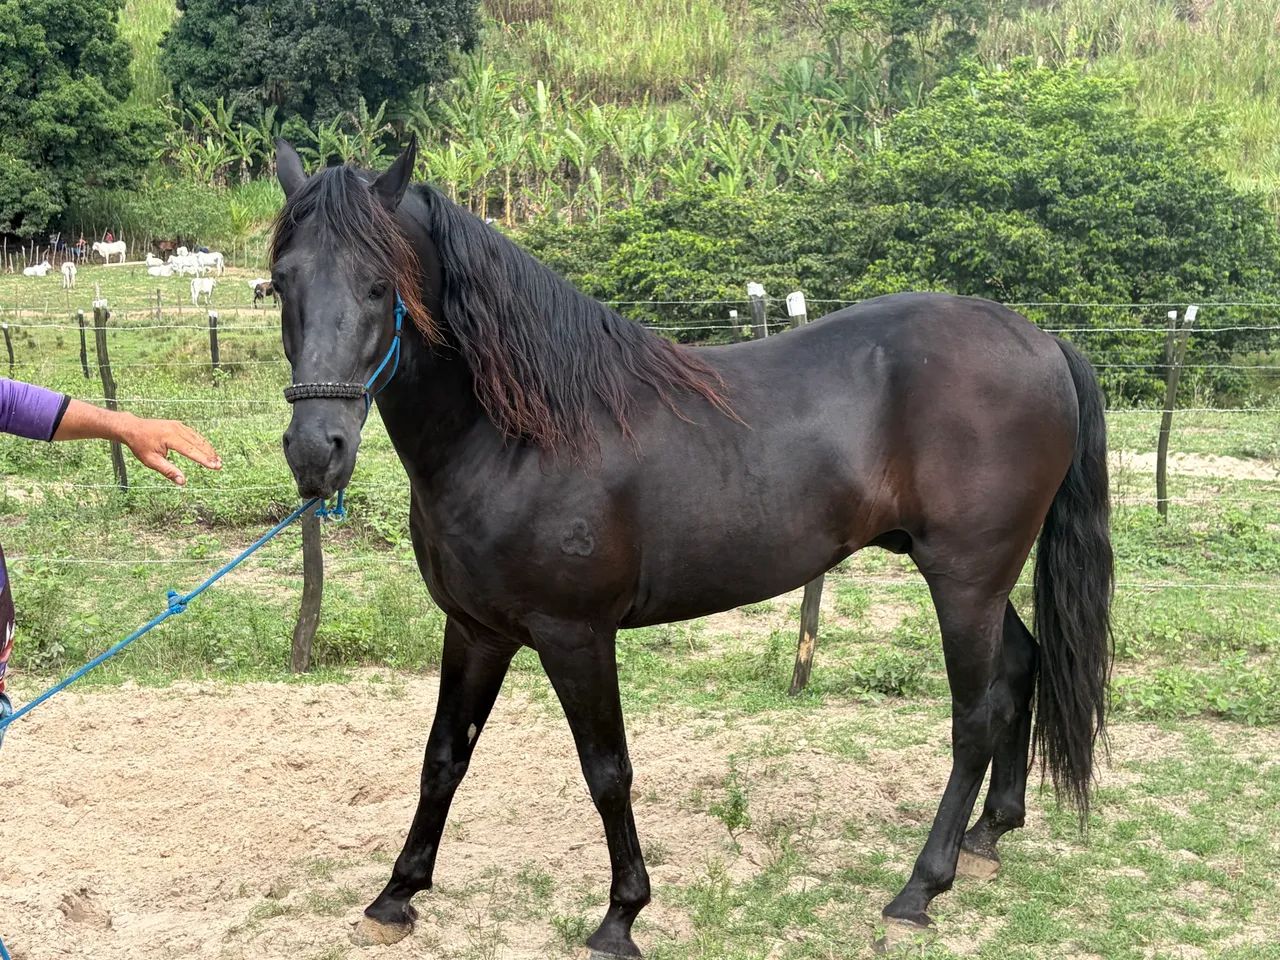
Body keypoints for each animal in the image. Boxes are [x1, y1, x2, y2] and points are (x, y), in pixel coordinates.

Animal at [271, 138, 1113, 957]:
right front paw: (396, 897)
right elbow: (443, 757)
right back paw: (988, 836)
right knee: (1021, 667)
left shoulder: (576, 636)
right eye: (281, 283)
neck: (522, 434)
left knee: (975, 716)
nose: (317, 449)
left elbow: (607, 770)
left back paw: (920, 889)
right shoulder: (476, 631)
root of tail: (1042, 339)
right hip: (977, 580)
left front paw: (621, 916)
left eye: (381, 285)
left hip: (965, 579)